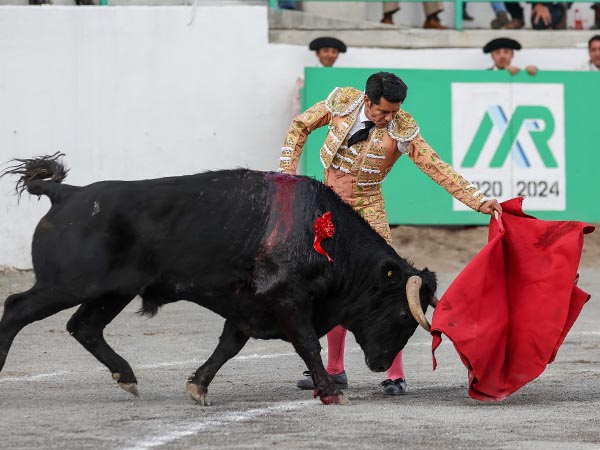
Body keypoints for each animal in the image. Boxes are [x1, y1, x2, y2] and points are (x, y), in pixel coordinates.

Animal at [0, 155, 436, 404]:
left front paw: (198, 386)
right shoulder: (287, 299)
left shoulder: (248, 306)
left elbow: (229, 346)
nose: (381, 364)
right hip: (67, 285)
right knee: (16, 309)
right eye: (403, 315)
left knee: (84, 326)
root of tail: (67, 193)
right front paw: (329, 392)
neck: (323, 233)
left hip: (111, 292)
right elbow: (308, 344)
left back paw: (127, 377)